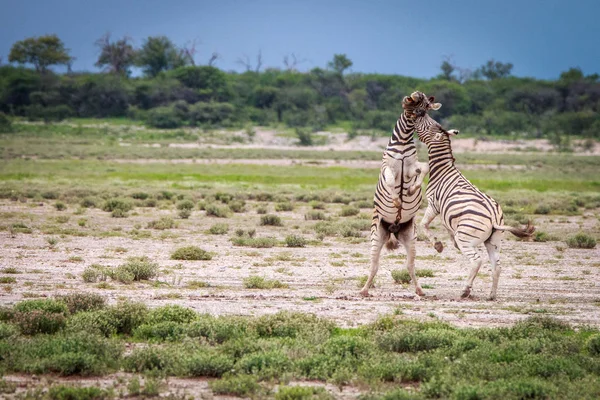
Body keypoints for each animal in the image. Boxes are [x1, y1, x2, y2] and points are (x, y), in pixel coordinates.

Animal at [360, 91, 446, 296]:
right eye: (417, 106)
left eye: (425, 108)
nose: (415, 95)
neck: (403, 141)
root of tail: (394, 229)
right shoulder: (387, 167)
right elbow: (390, 180)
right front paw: (396, 201)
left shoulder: (412, 167)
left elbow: (425, 168)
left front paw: (411, 190)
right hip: (377, 236)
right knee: (374, 264)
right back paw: (364, 290)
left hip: (410, 238)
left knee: (410, 266)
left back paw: (420, 290)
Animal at [410, 106, 536, 300]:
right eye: (432, 120)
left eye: (428, 123)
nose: (418, 112)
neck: (442, 169)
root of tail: (494, 218)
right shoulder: (448, 214)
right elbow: (447, 227)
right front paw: (450, 241)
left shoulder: (433, 204)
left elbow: (424, 224)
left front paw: (438, 245)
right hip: (493, 241)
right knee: (497, 266)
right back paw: (491, 295)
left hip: (467, 239)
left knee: (477, 261)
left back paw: (465, 290)